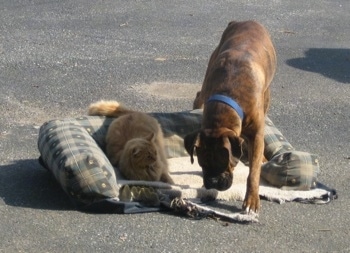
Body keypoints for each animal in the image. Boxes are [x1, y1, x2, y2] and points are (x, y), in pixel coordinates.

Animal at [185, 20, 278, 213]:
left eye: (224, 163)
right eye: (202, 164)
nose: (212, 182)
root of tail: (246, 21)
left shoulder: (256, 134)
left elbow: (253, 173)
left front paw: (251, 200)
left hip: (267, 94)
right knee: (198, 96)